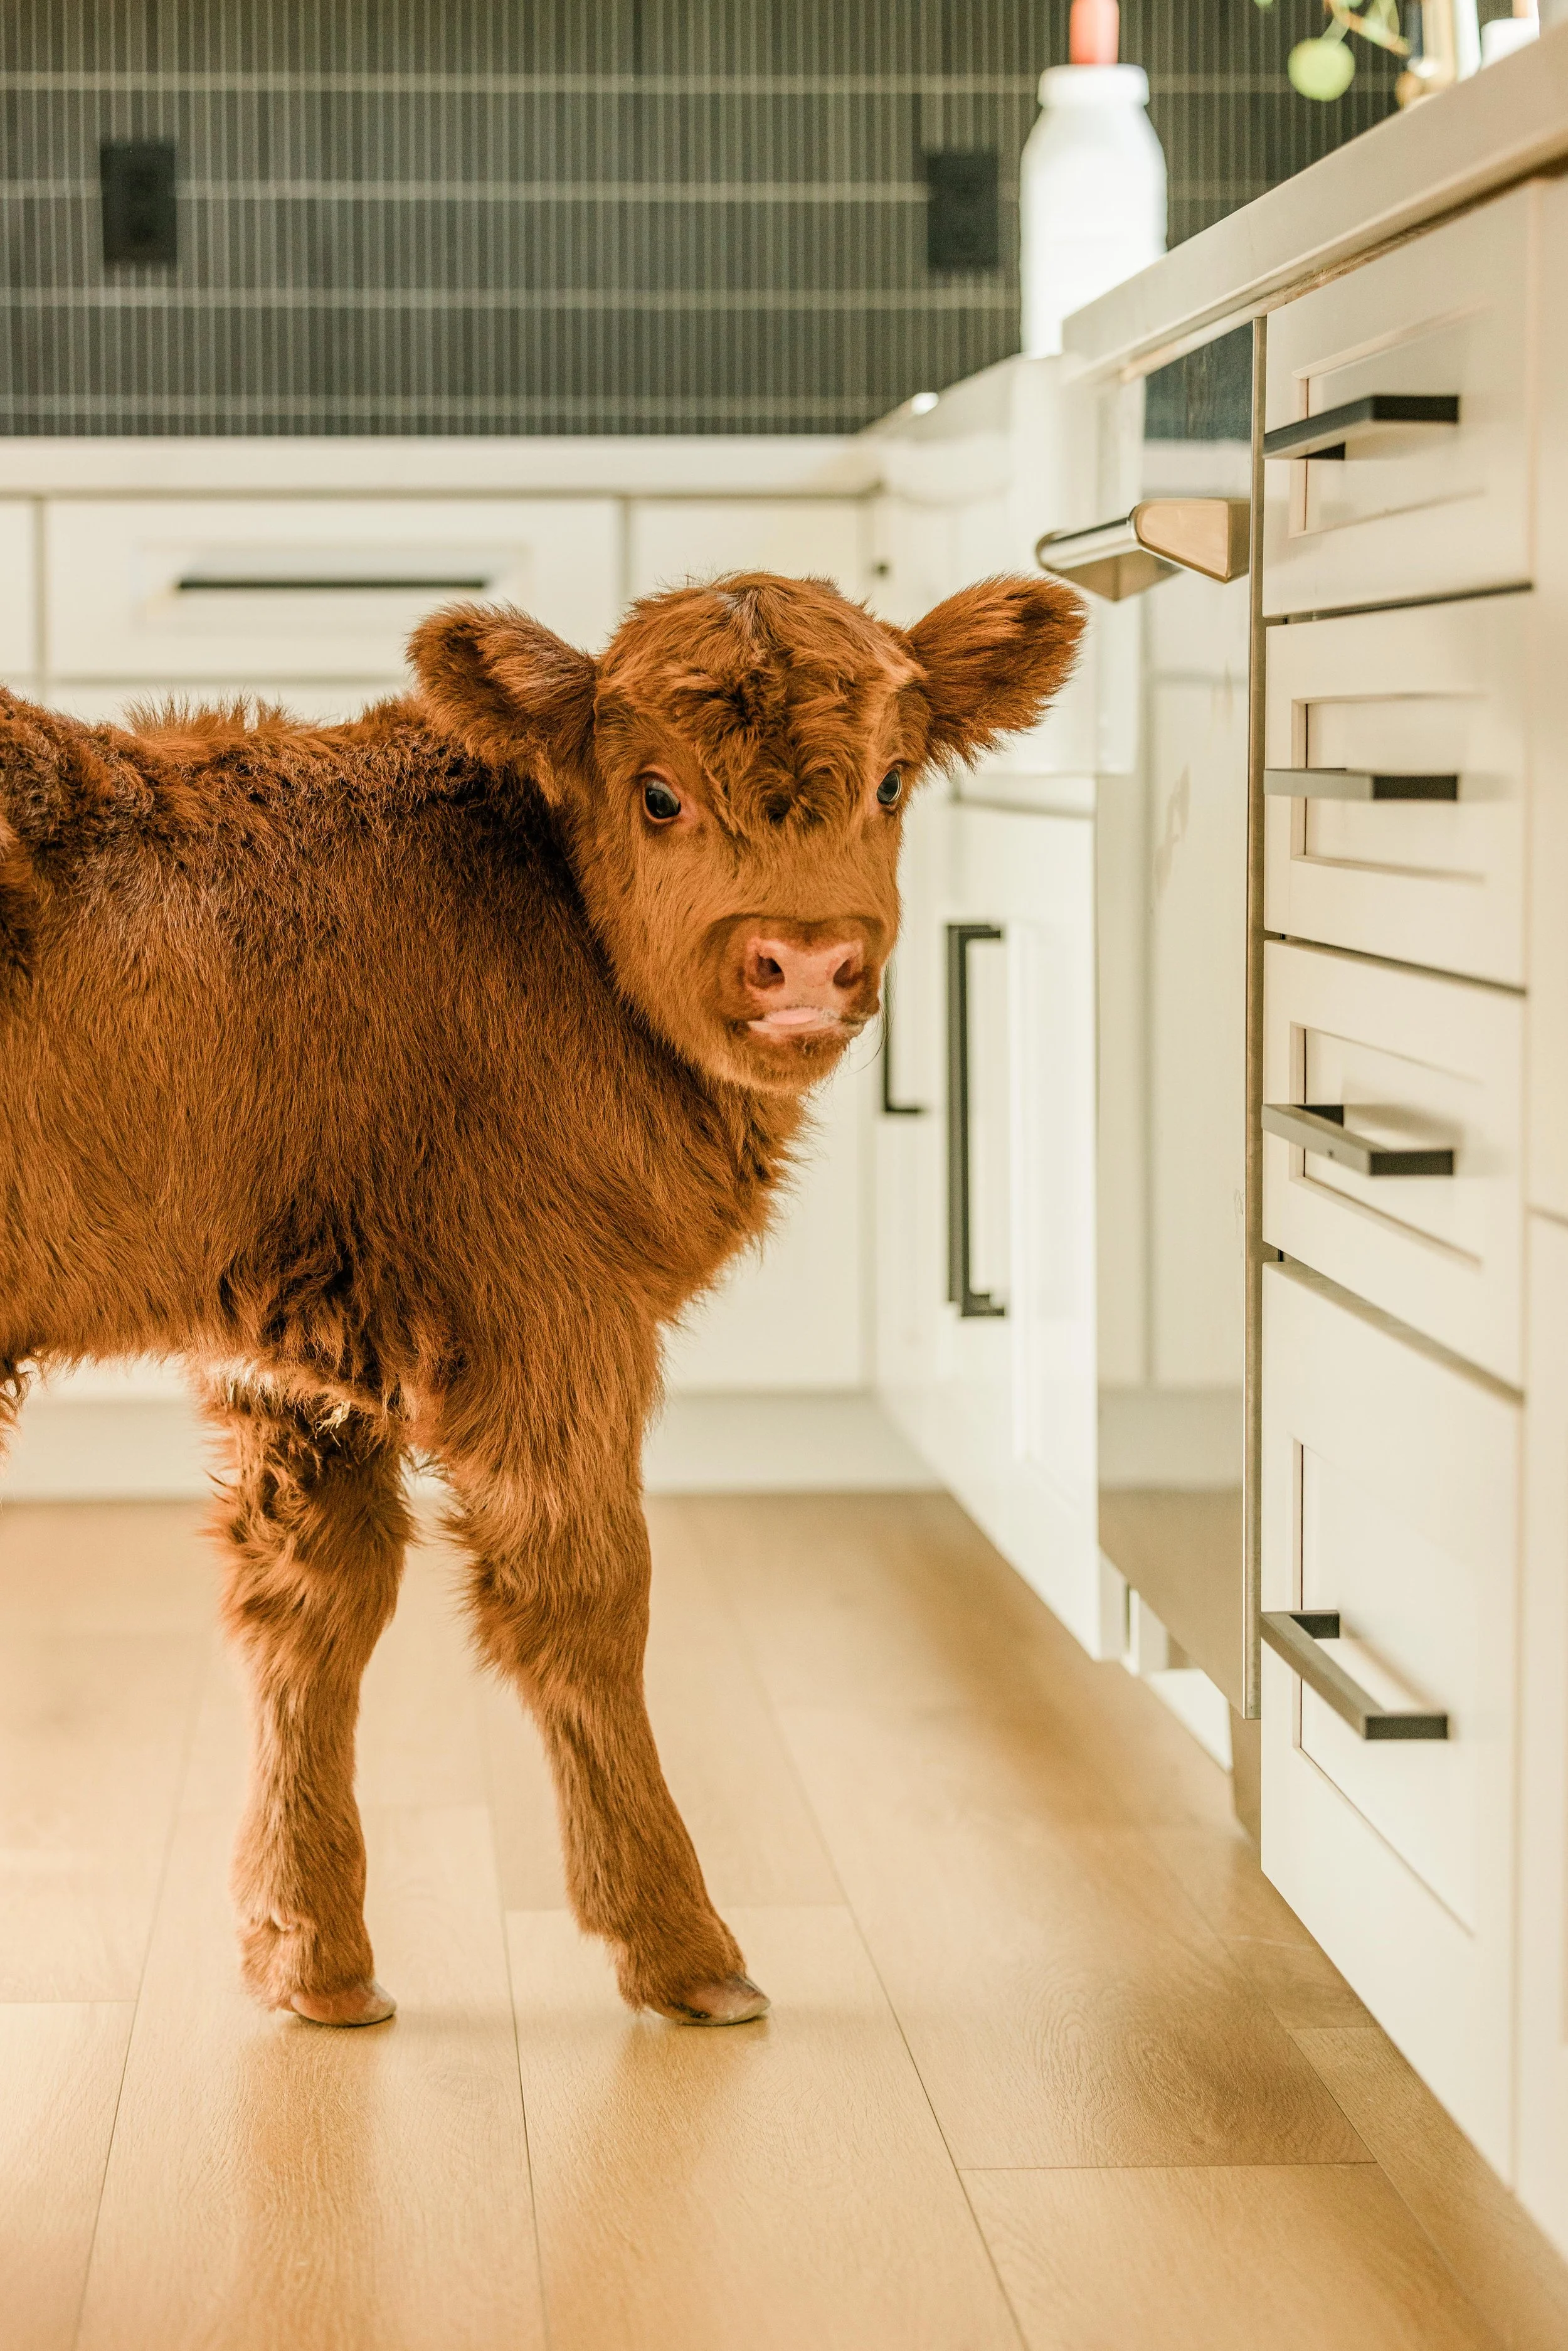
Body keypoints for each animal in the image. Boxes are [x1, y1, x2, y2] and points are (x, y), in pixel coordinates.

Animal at [0, 570, 1083, 2028]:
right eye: (657, 792)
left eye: (895, 780)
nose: (805, 961)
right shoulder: (544, 1313)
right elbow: (586, 1599)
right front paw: (683, 1947)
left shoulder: (300, 1353)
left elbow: (310, 1606)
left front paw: (313, 1956)